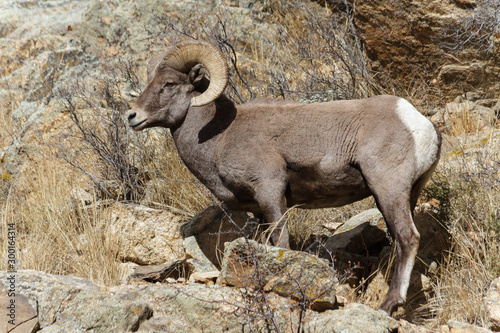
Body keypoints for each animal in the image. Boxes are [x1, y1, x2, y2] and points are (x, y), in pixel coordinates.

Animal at [128, 40, 442, 312]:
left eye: (169, 84)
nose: (132, 116)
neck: (219, 136)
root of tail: (419, 124)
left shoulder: (270, 192)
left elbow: (281, 244)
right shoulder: (259, 210)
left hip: (388, 190)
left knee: (407, 237)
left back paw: (389, 305)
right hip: (407, 195)